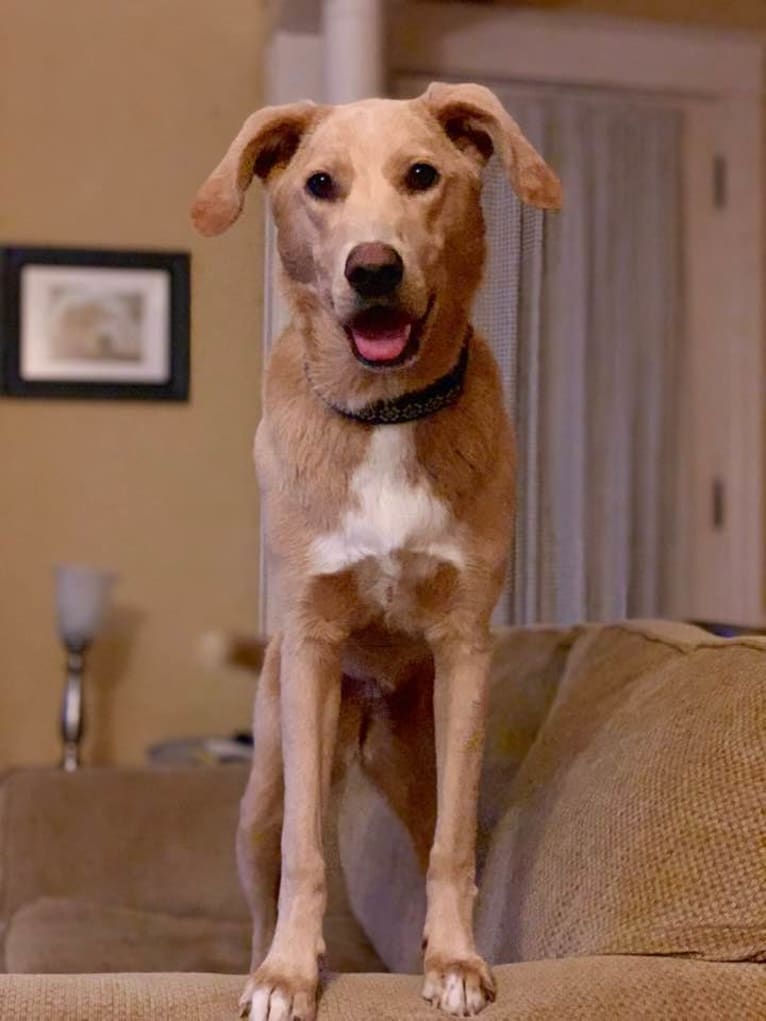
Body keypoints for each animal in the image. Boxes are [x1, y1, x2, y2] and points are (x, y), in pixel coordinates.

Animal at [192, 81, 563, 1021]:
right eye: (319, 184)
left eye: (422, 175)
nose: (373, 268)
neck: (385, 413)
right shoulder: (314, 646)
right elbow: (306, 855)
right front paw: (289, 975)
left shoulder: (466, 649)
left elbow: (452, 852)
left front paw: (457, 962)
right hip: (267, 781)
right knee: (271, 867)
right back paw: (262, 957)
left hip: (414, 762)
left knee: (441, 837)